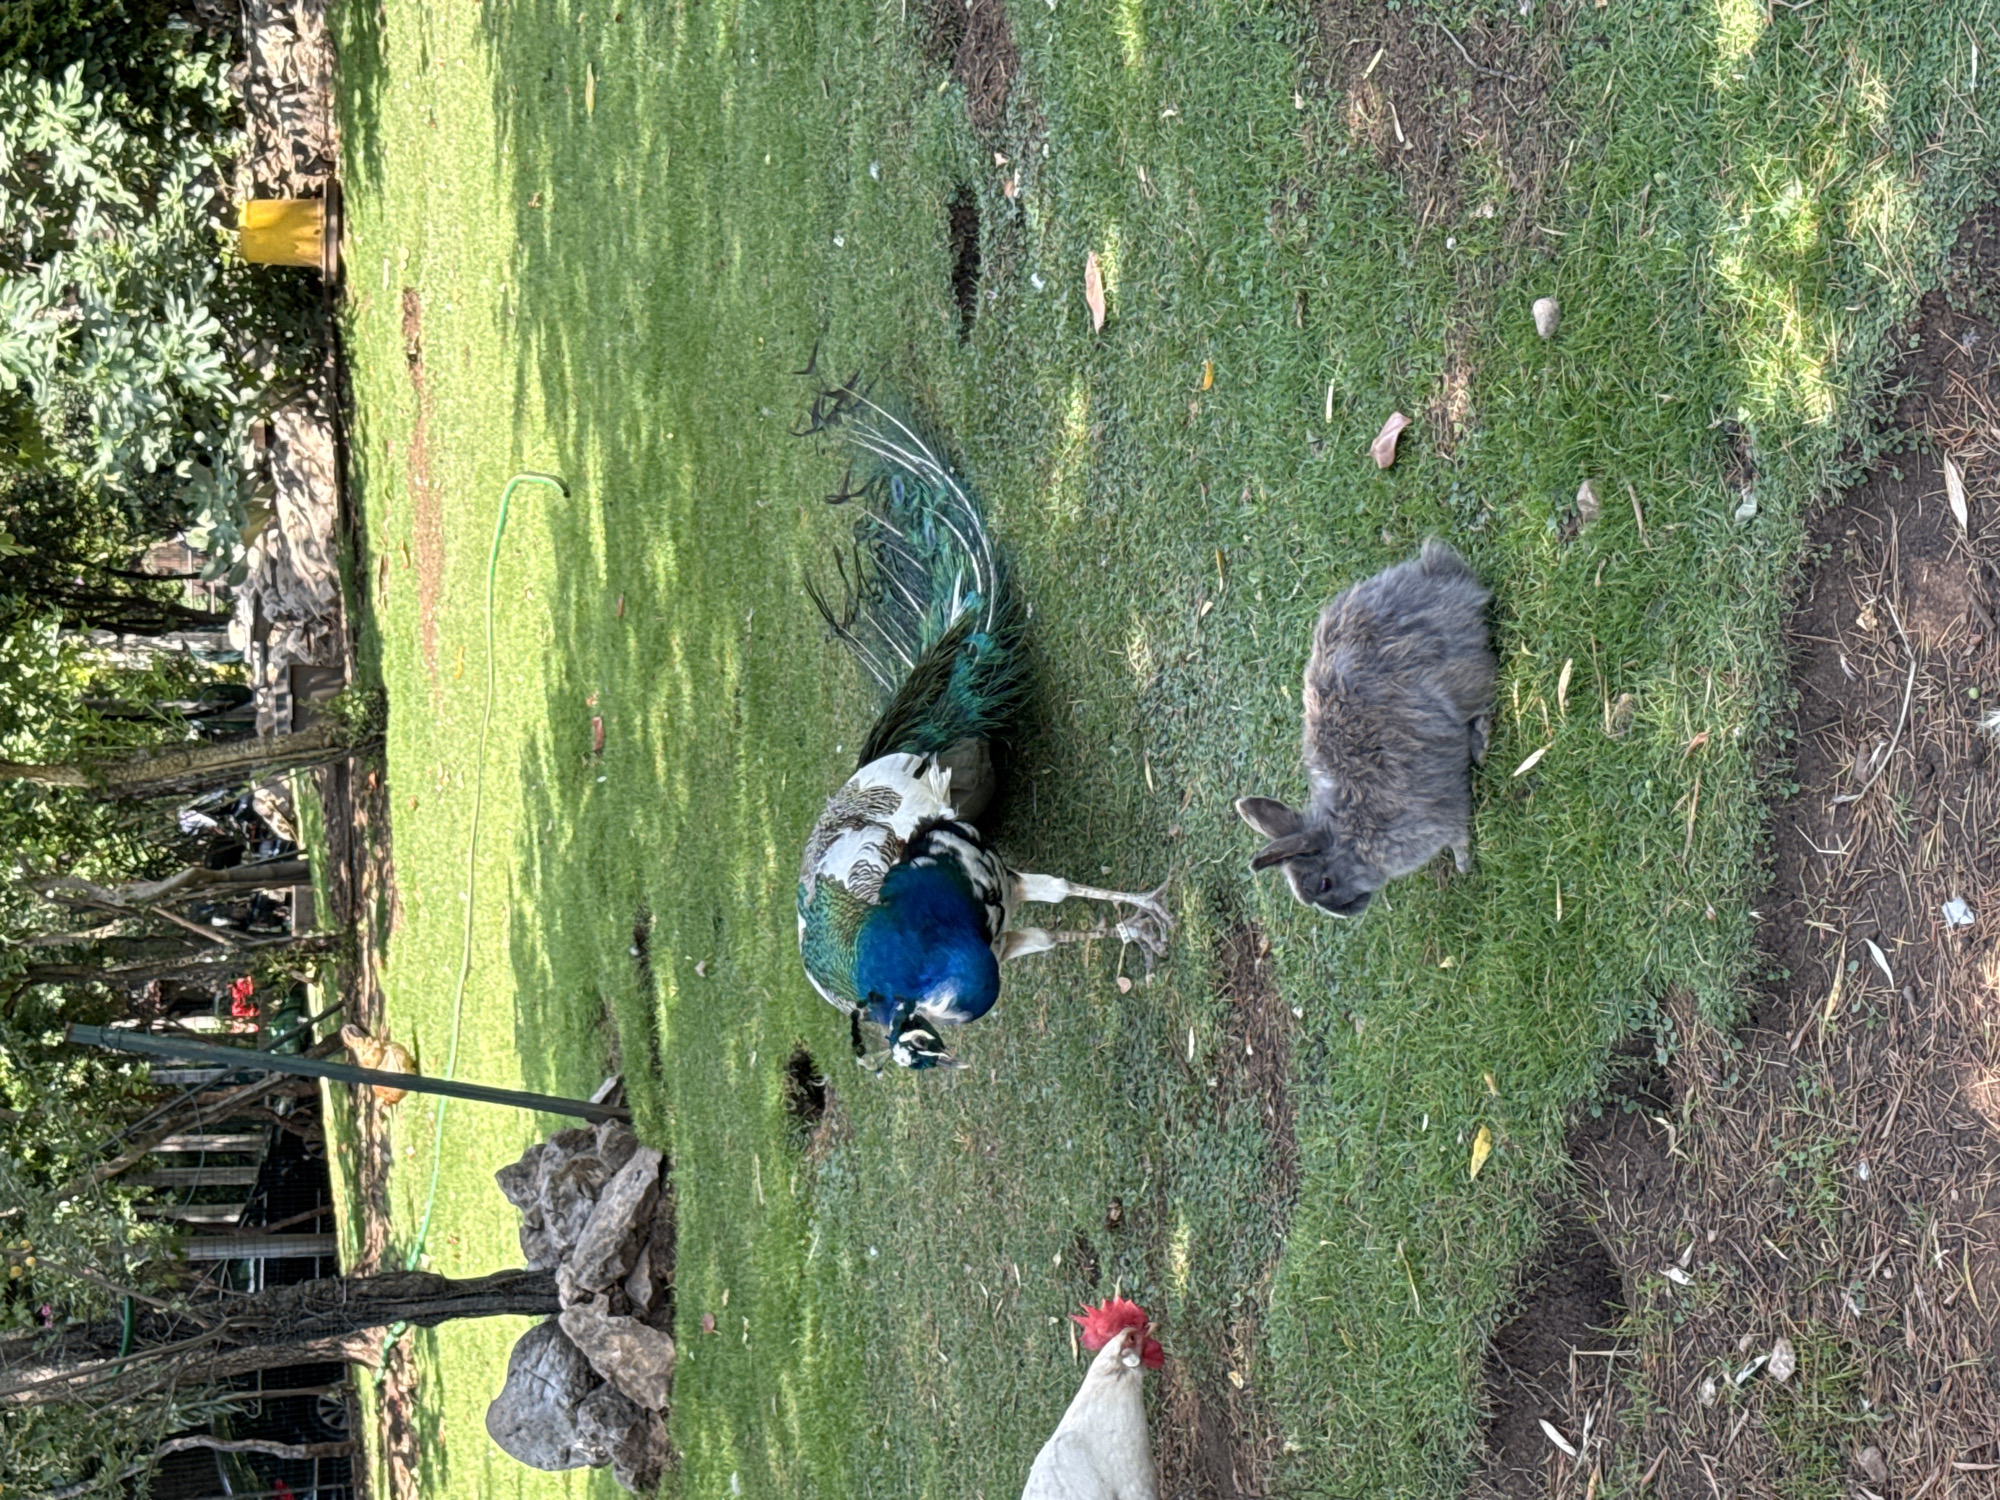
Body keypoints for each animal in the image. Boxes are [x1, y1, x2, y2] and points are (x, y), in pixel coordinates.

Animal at [1236, 538, 1495, 917]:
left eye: (1324, 884)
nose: (1347, 911)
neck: (1349, 828)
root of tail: (1436, 576)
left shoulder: (1436, 819)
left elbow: (1457, 833)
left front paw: (1464, 864)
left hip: (1461, 676)